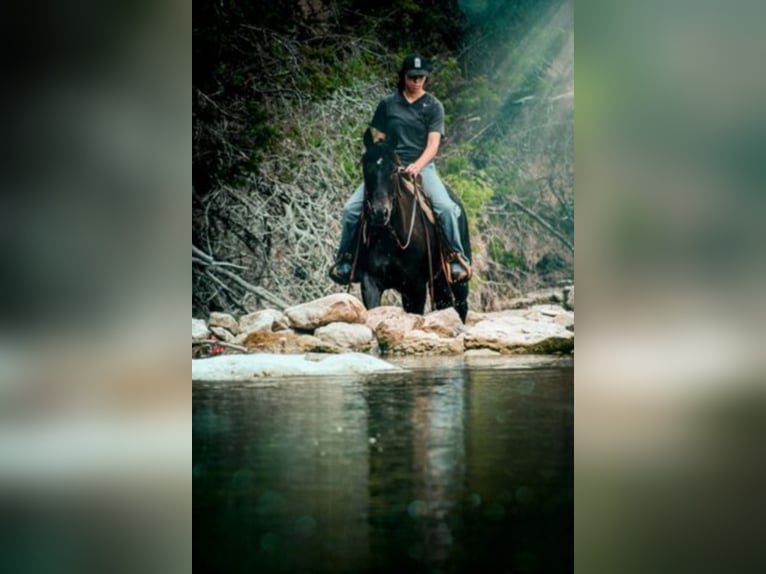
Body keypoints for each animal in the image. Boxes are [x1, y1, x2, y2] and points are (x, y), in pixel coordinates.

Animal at [356, 130, 474, 324]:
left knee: (461, 306)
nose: (380, 212)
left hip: (458, 280)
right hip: (438, 280)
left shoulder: (416, 286)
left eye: (393, 170)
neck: (392, 238)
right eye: (366, 167)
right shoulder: (371, 281)